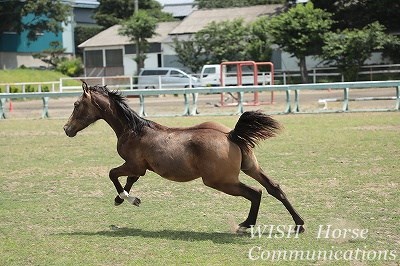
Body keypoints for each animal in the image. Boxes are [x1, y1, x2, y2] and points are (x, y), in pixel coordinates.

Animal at [64, 81, 304, 233]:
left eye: (76, 104)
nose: (67, 129)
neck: (134, 130)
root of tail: (231, 135)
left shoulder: (133, 164)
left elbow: (113, 175)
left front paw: (128, 199)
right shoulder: (140, 167)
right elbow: (129, 181)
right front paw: (122, 199)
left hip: (221, 181)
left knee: (255, 193)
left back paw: (246, 225)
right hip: (251, 168)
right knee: (274, 188)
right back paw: (299, 224)